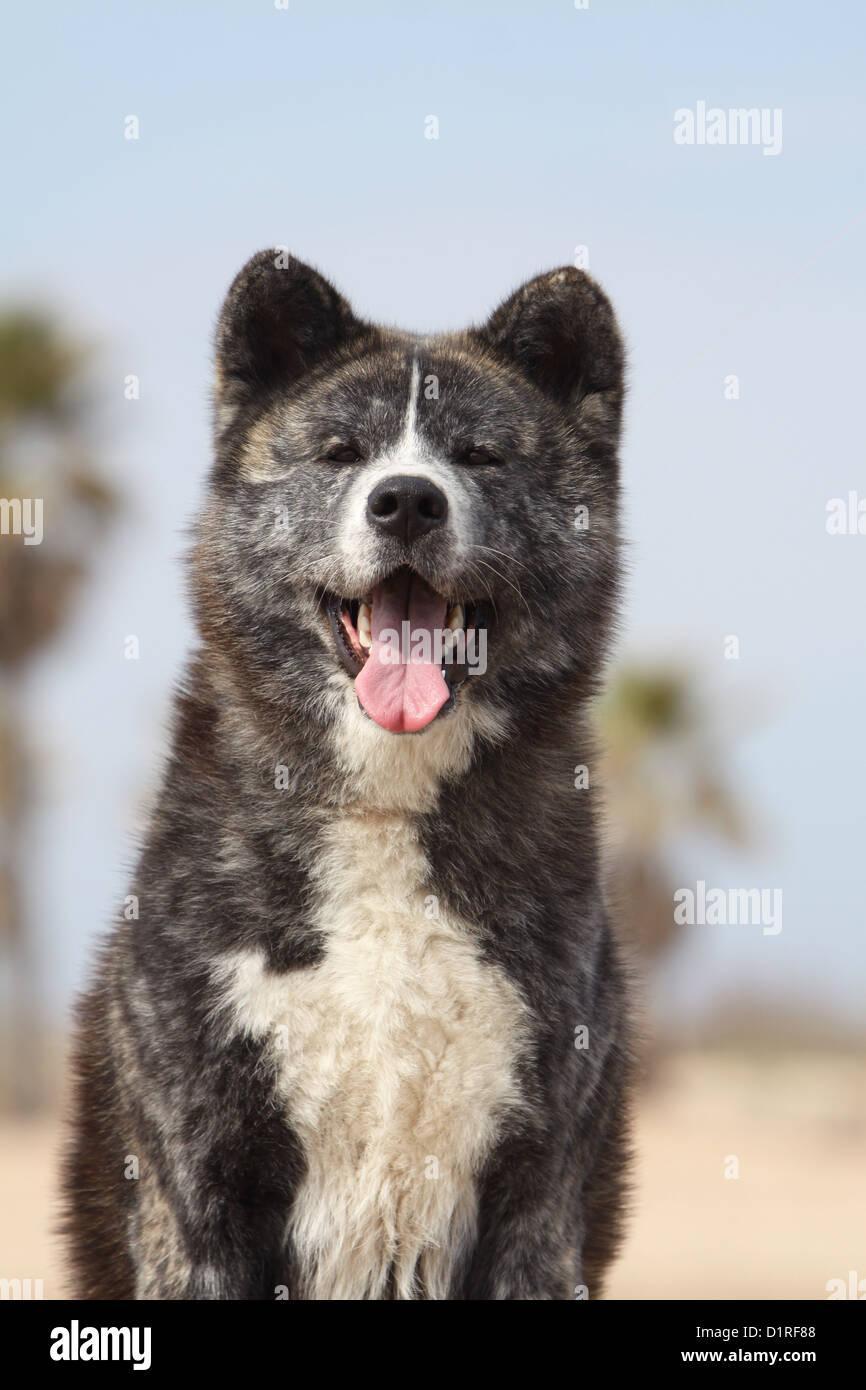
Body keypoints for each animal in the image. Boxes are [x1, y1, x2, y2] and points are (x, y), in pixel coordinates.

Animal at [59, 252, 631, 1301]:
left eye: (481, 457)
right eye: (340, 453)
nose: (406, 499)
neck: (385, 805)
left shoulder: (537, 1204)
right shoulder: (200, 1194)